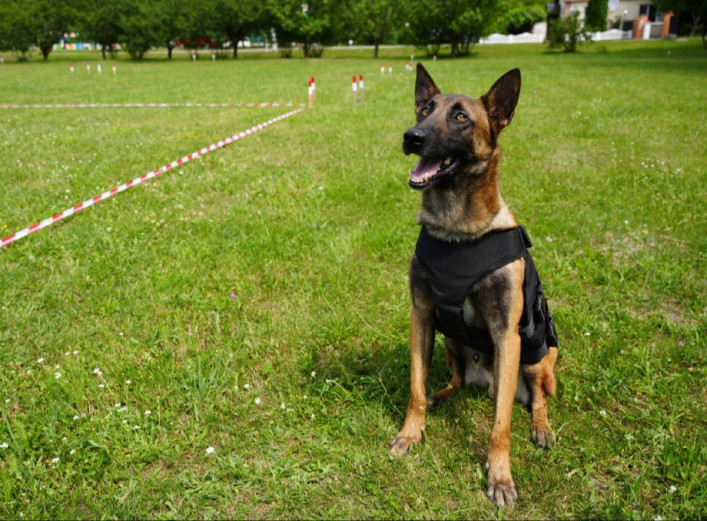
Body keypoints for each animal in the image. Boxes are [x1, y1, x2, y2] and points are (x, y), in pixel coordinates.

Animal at [389, 64, 559, 507]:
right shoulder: (422, 316)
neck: (457, 231)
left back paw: (542, 427)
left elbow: (500, 425)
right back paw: (442, 396)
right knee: (456, 380)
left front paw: (499, 477)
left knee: (537, 399)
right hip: (451, 342)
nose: (411, 136)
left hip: (537, 355)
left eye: (461, 117)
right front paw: (410, 432)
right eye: (425, 108)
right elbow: (415, 388)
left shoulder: (506, 335)